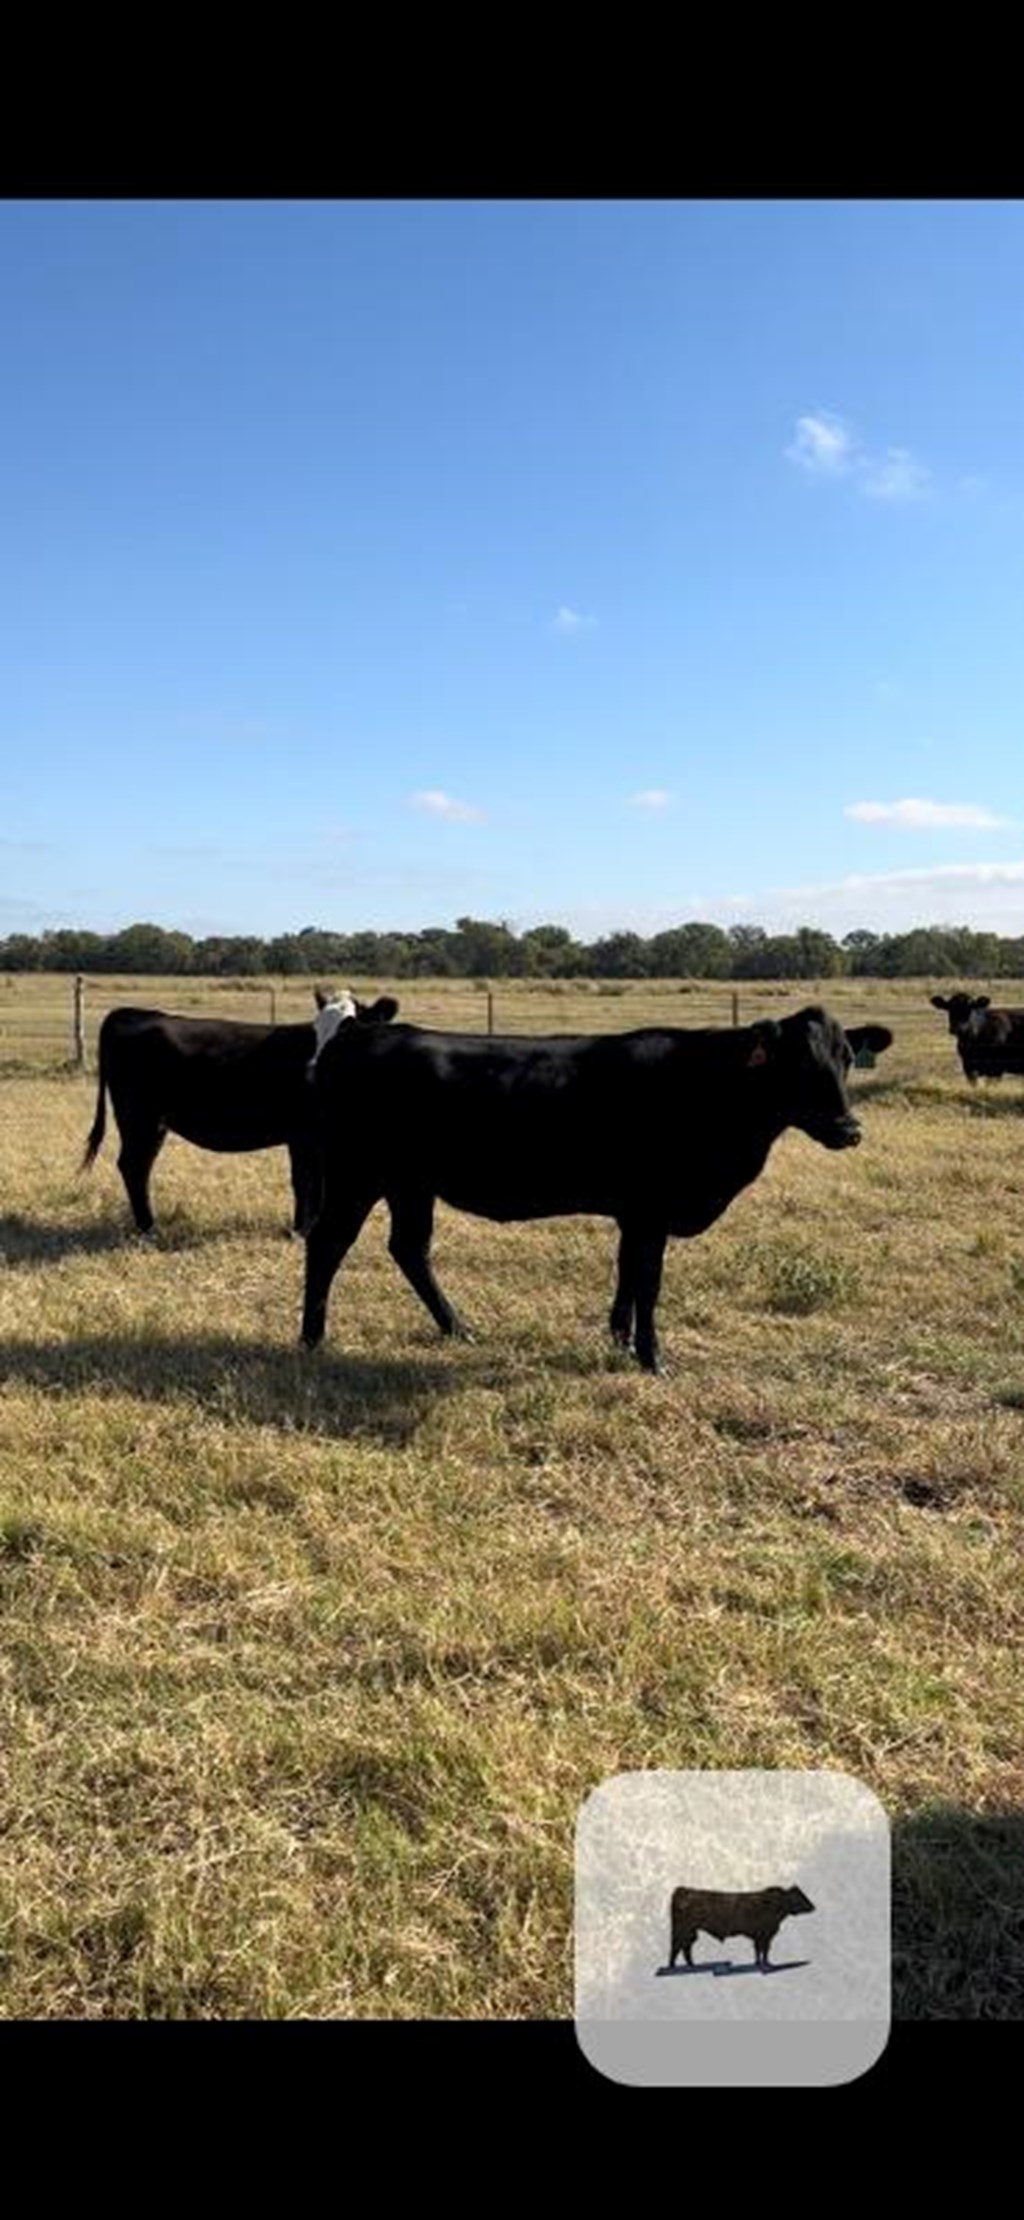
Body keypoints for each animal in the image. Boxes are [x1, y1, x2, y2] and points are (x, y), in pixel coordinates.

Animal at [81, 985, 399, 1234]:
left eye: (348, 1028)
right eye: (317, 1029)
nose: (312, 1071)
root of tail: (132, 1013)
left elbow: (317, 1183)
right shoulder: (304, 1135)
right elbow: (305, 1182)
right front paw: (301, 1230)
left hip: (151, 1122)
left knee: (138, 1165)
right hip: (139, 1119)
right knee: (133, 1166)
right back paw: (148, 1226)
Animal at [299, 1003, 888, 1367]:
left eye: (847, 1058)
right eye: (798, 1063)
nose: (849, 1129)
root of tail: (361, 1034)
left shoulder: (635, 1213)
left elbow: (627, 1275)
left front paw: (620, 1341)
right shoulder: (652, 1209)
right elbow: (649, 1282)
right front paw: (652, 1358)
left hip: (410, 1183)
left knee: (409, 1248)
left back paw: (458, 1328)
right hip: (357, 1174)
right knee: (327, 1243)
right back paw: (312, 1339)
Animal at [666, 1882, 808, 1971]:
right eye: (799, 1897)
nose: (812, 1906)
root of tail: (683, 1890)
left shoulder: (760, 1936)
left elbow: (759, 1950)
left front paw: (759, 1963)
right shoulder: (765, 1935)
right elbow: (764, 1950)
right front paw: (765, 1964)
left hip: (690, 1931)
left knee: (685, 1947)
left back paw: (690, 1966)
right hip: (682, 1930)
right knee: (677, 1947)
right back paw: (673, 1967)